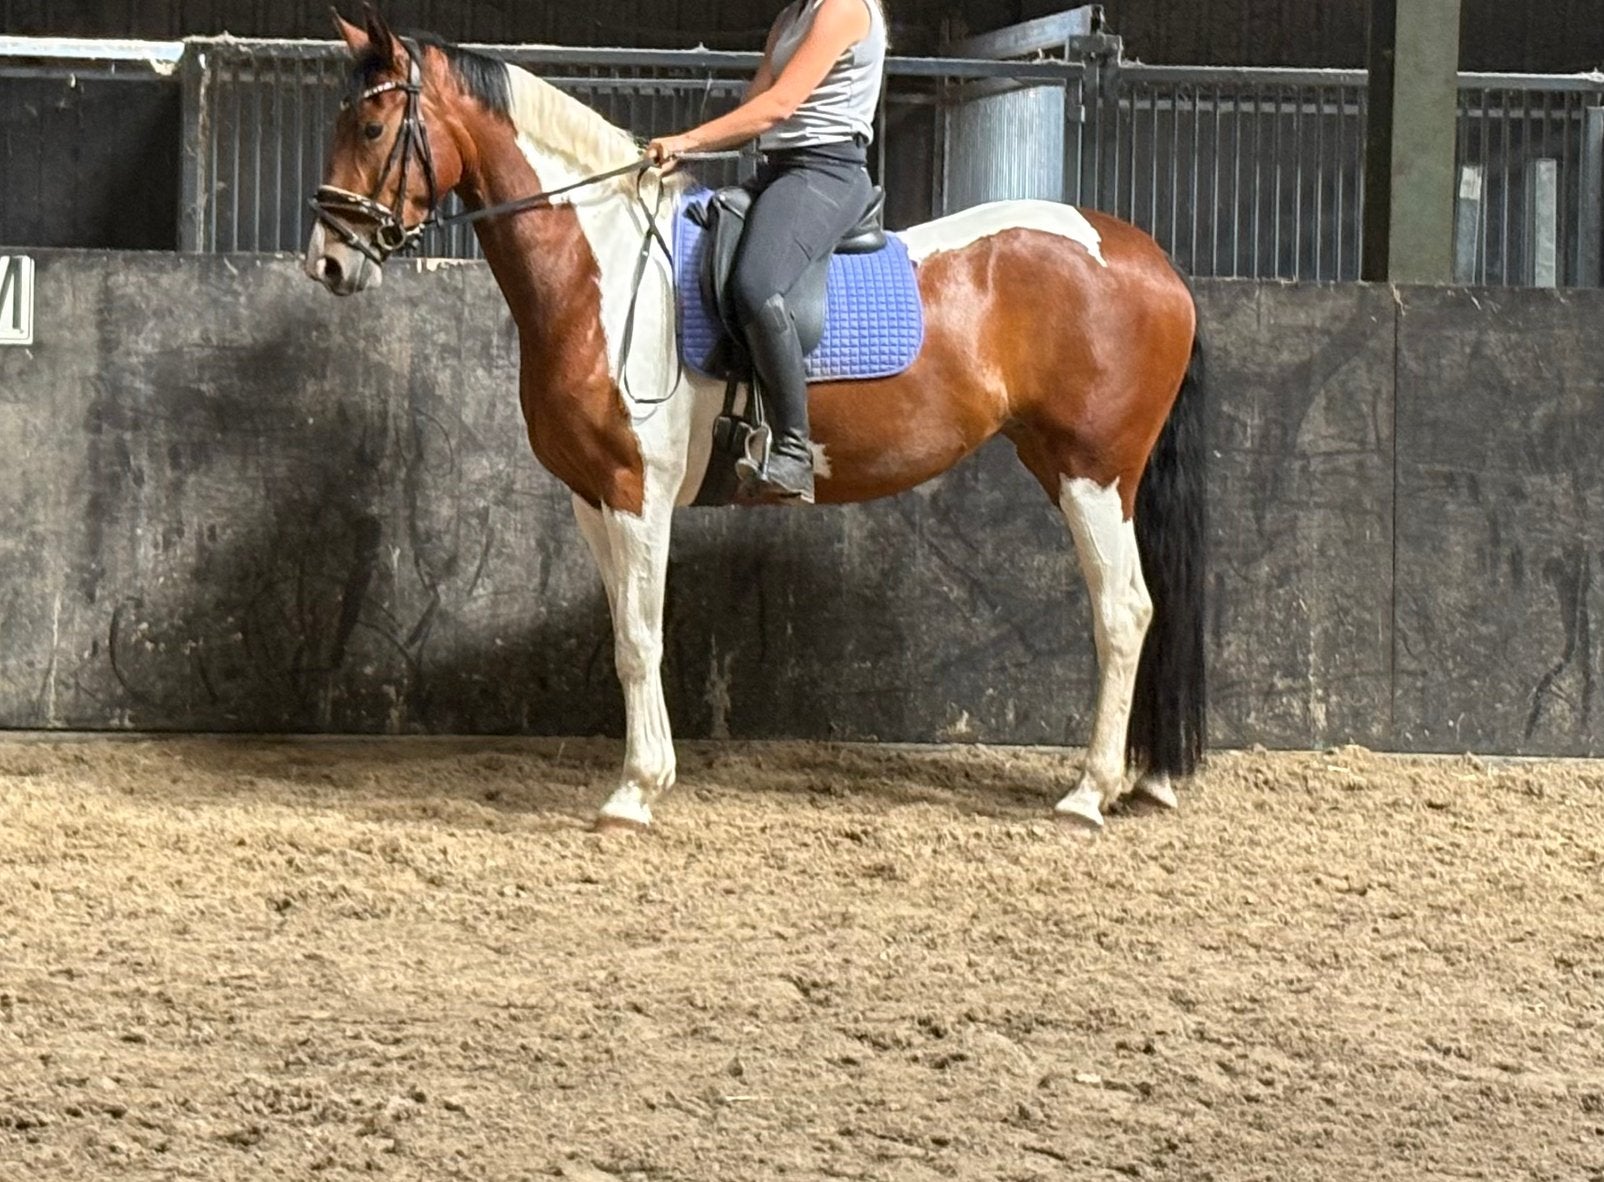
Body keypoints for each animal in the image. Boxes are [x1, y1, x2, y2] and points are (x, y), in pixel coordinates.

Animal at [303, 9, 1207, 834]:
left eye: (372, 126)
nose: (329, 263)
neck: (602, 269)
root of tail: (1150, 259)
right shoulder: (592, 498)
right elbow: (628, 636)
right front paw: (650, 777)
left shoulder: (638, 493)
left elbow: (641, 638)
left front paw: (635, 793)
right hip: (1070, 466)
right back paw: (1146, 782)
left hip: (1093, 472)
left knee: (1124, 611)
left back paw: (1088, 793)